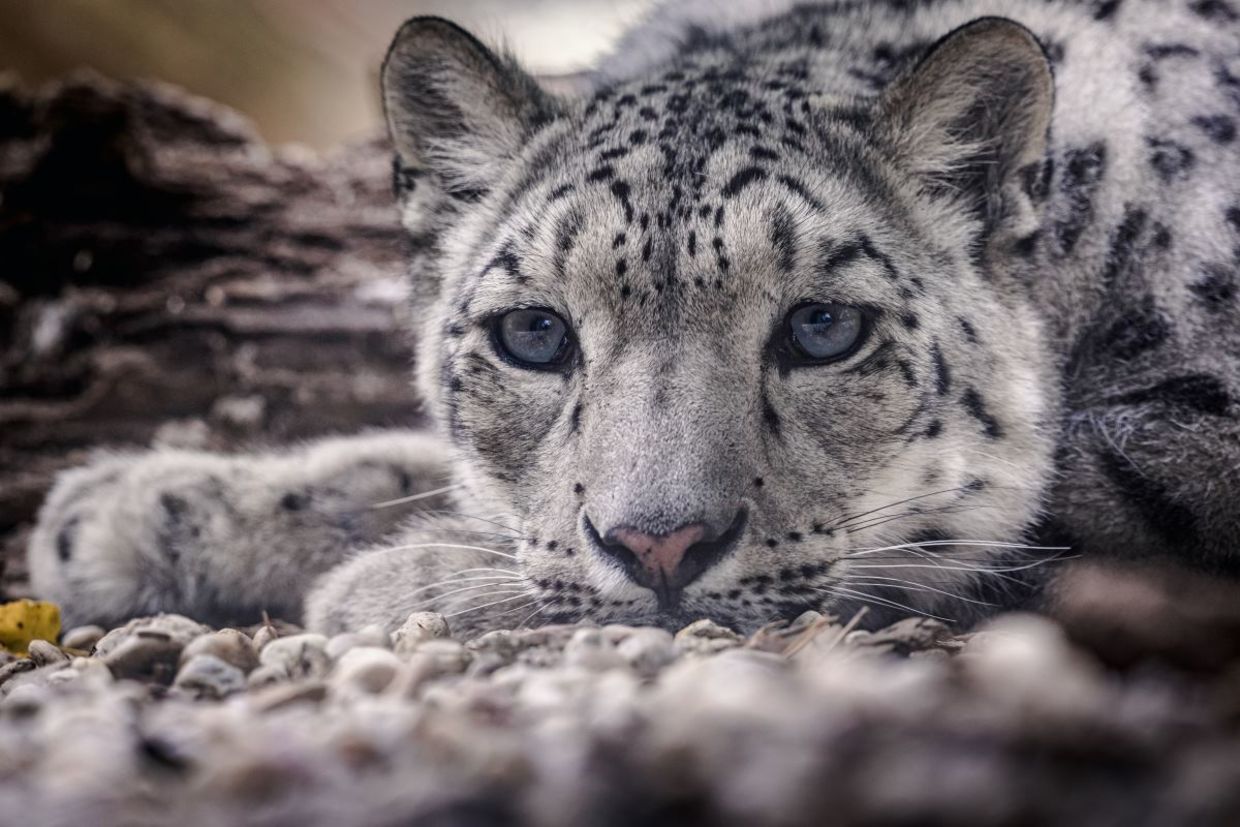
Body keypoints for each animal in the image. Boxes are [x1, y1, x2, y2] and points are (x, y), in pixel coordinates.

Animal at [27, 0, 1240, 638]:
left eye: (821, 327)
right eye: (533, 335)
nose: (661, 545)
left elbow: (1014, 509)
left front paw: (394, 578)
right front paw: (124, 510)